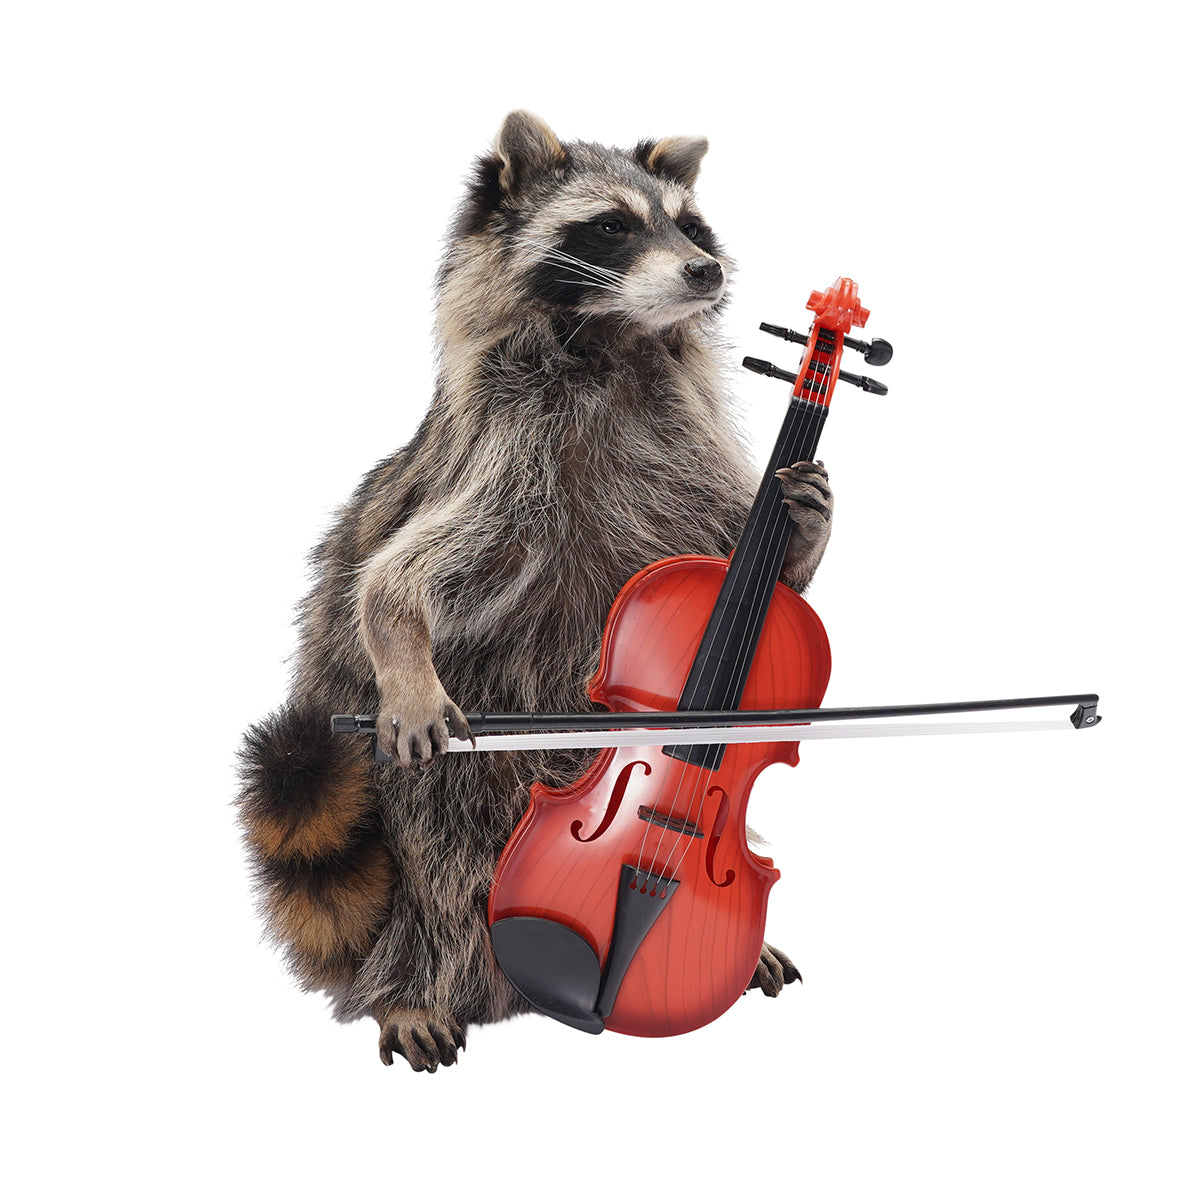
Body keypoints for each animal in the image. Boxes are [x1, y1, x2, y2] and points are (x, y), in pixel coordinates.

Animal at [237, 111, 832, 1072]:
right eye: (612, 226)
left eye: (690, 226)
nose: (704, 271)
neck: (611, 339)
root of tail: (515, 989)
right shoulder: (508, 453)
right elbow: (400, 573)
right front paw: (400, 639)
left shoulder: (682, 446)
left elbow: (757, 549)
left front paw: (804, 531)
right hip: (409, 790)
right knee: (438, 849)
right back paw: (415, 981)